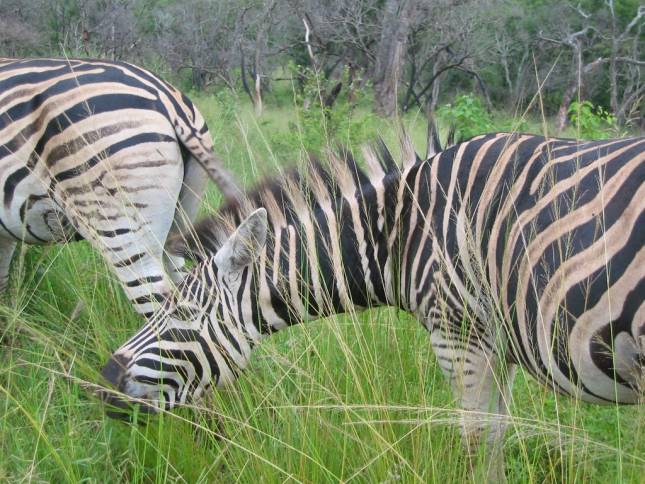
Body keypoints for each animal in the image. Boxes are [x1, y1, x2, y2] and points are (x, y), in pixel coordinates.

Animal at [100, 130, 644, 478]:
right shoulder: (494, 347)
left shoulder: (459, 335)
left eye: (182, 315)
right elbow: (495, 437)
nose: (104, 381)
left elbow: (477, 446)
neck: (401, 234)